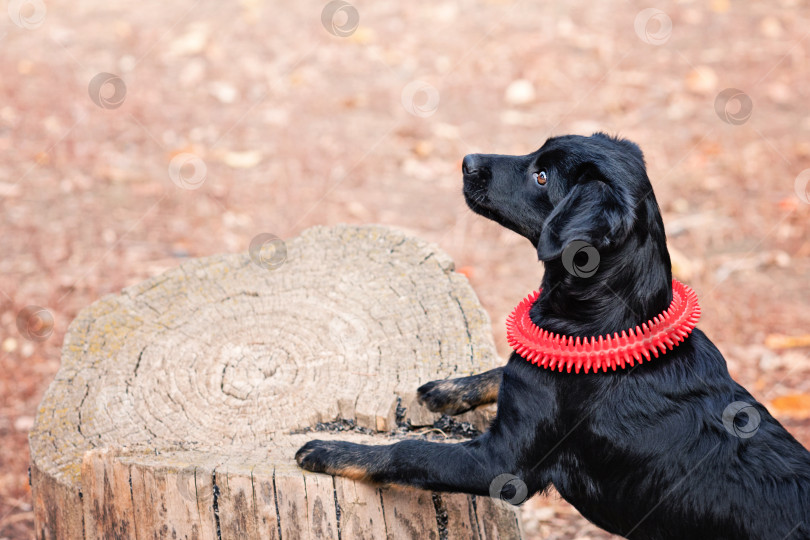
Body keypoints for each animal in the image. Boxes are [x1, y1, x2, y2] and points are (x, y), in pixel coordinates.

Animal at [296, 133, 808, 536]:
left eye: (542, 177)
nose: (467, 161)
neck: (609, 319)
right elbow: (502, 368)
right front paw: (450, 388)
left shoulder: (499, 465)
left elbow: (410, 451)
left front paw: (334, 451)